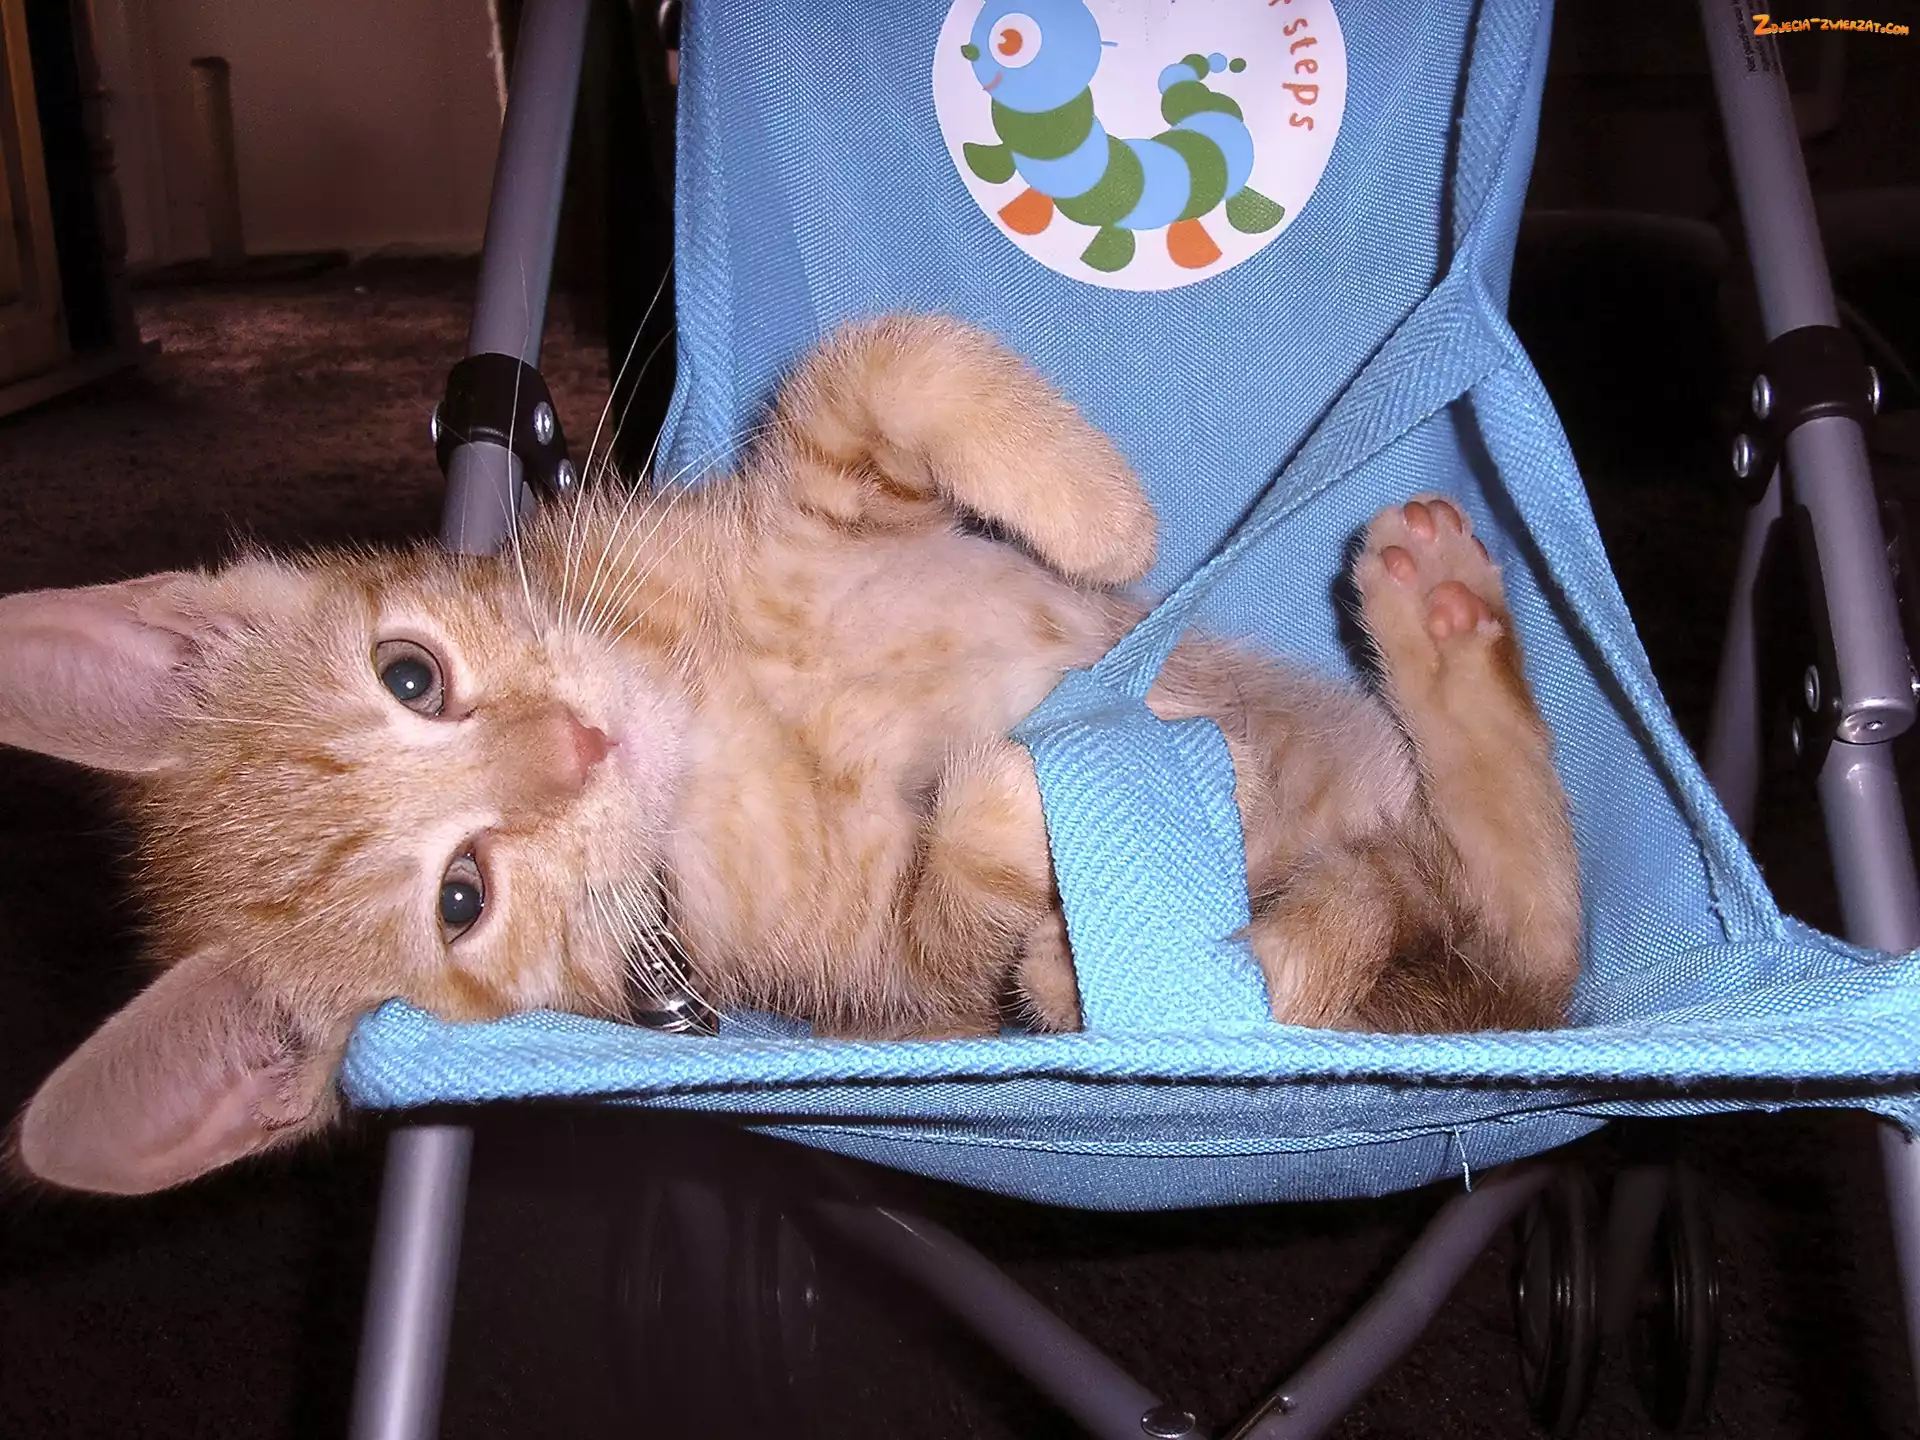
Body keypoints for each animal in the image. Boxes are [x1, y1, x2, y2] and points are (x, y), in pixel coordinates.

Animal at [0, 314, 1581, 1195]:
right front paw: (1028, 800)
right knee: (1514, 933)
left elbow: (876, 357)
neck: (712, 710)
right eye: (461, 900)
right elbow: (959, 884)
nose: (585, 741)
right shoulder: (898, 975)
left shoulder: (817, 499)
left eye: (412, 676)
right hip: (1436, 942)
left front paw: (1096, 510)